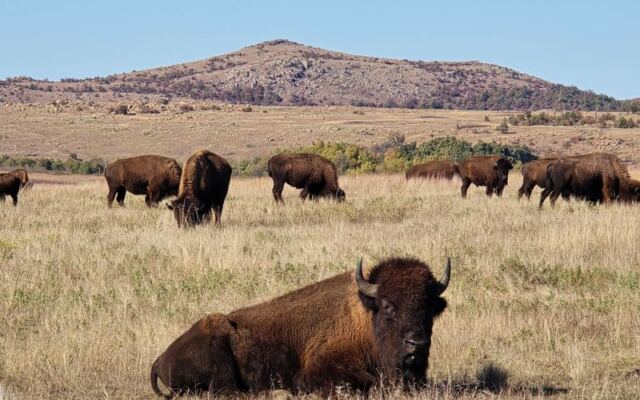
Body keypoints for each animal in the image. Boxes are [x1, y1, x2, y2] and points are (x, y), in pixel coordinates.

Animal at [150, 257, 451, 397]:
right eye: (388, 306)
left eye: (429, 307)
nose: (417, 344)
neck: (366, 317)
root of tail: (161, 357)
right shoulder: (315, 371)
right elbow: (368, 383)